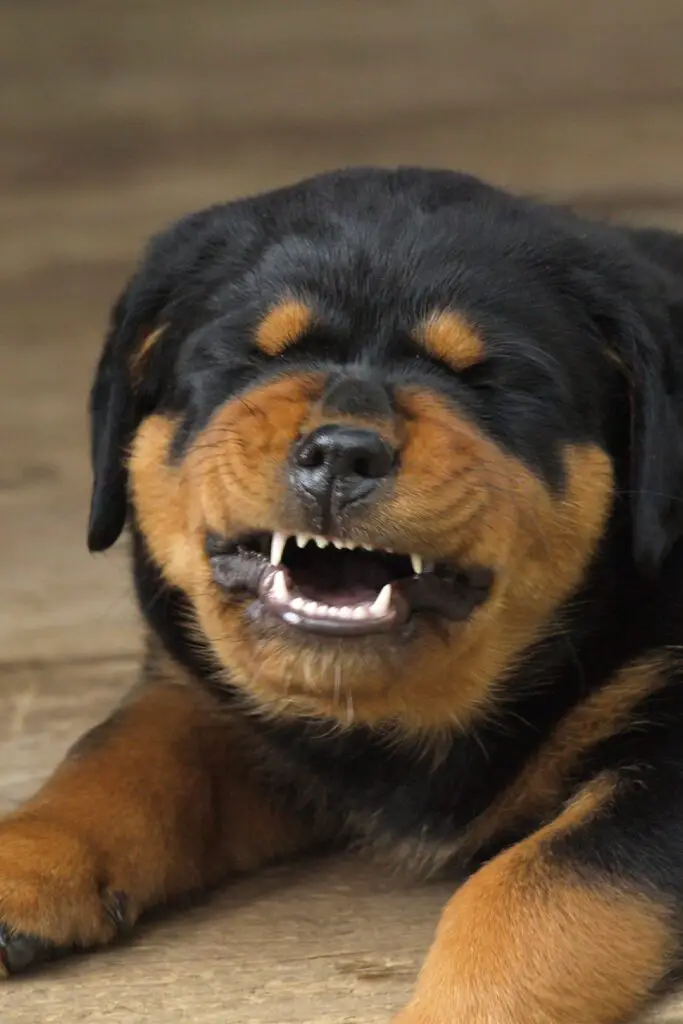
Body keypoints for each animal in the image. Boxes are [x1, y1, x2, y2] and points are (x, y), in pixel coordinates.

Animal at [3, 163, 683, 1019]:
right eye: (249, 360)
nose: (341, 453)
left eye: (486, 380)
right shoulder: (205, 695)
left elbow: (540, 886)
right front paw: (24, 859)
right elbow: (116, 756)